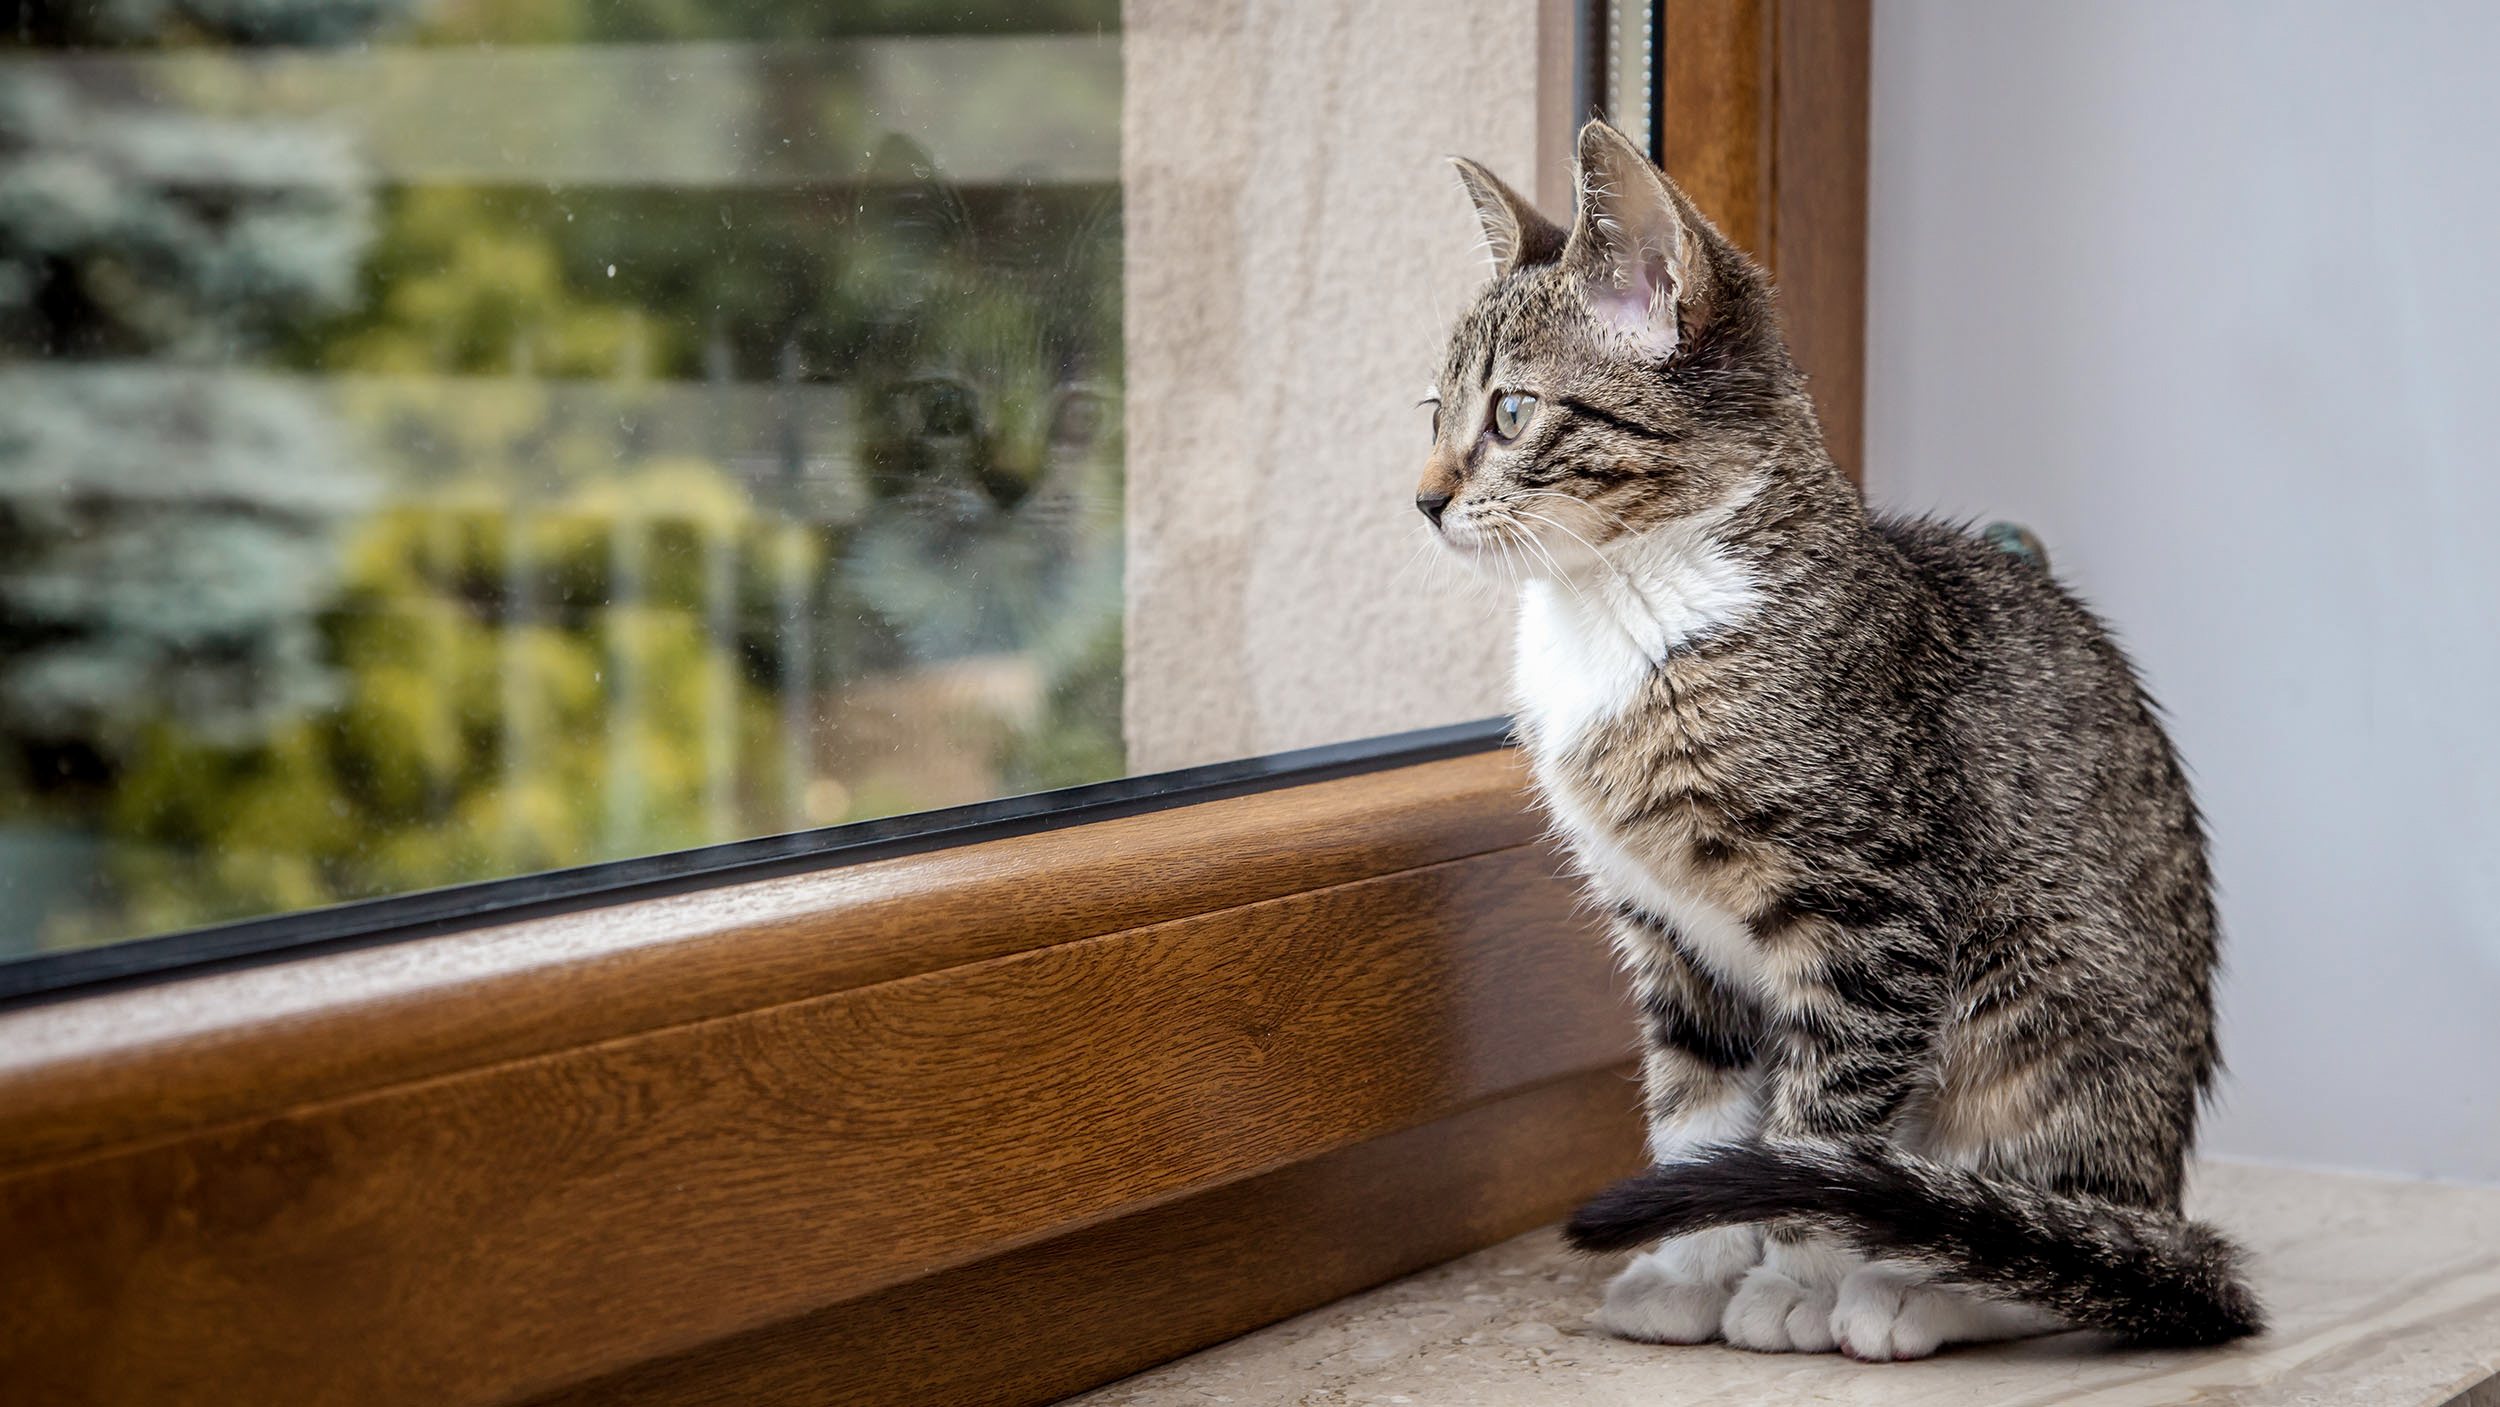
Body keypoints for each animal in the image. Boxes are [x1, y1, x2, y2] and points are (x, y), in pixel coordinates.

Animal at [1430, 123, 2270, 1369]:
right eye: (1432, 410)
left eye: (1511, 415)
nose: (1423, 498)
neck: (1619, 603)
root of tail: (2162, 1186)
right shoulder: (1664, 932)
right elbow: (1701, 1118)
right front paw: (1691, 1266)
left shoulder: (1872, 918)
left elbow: (1818, 1134)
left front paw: (1790, 1279)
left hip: (2039, 999)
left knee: (2057, 1240)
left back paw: (1922, 1289)